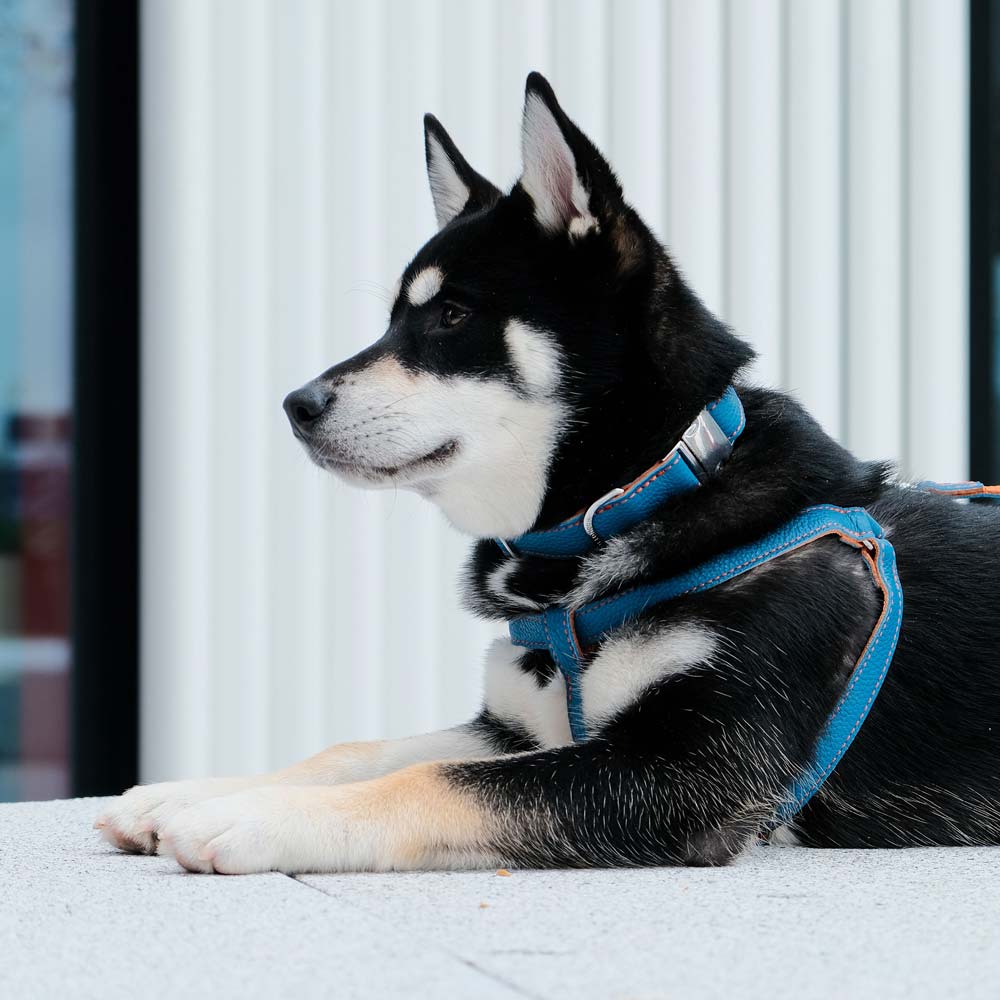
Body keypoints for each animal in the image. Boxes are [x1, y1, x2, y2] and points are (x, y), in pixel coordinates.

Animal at [97, 72, 1000, 876]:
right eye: (393, 320)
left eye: (452, 315)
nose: (297, 405)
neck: (629, 502)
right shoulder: (520, 728)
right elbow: (360, 750)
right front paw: (188, 792)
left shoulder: (686, 772)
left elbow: (429, 780)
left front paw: (246, 814)